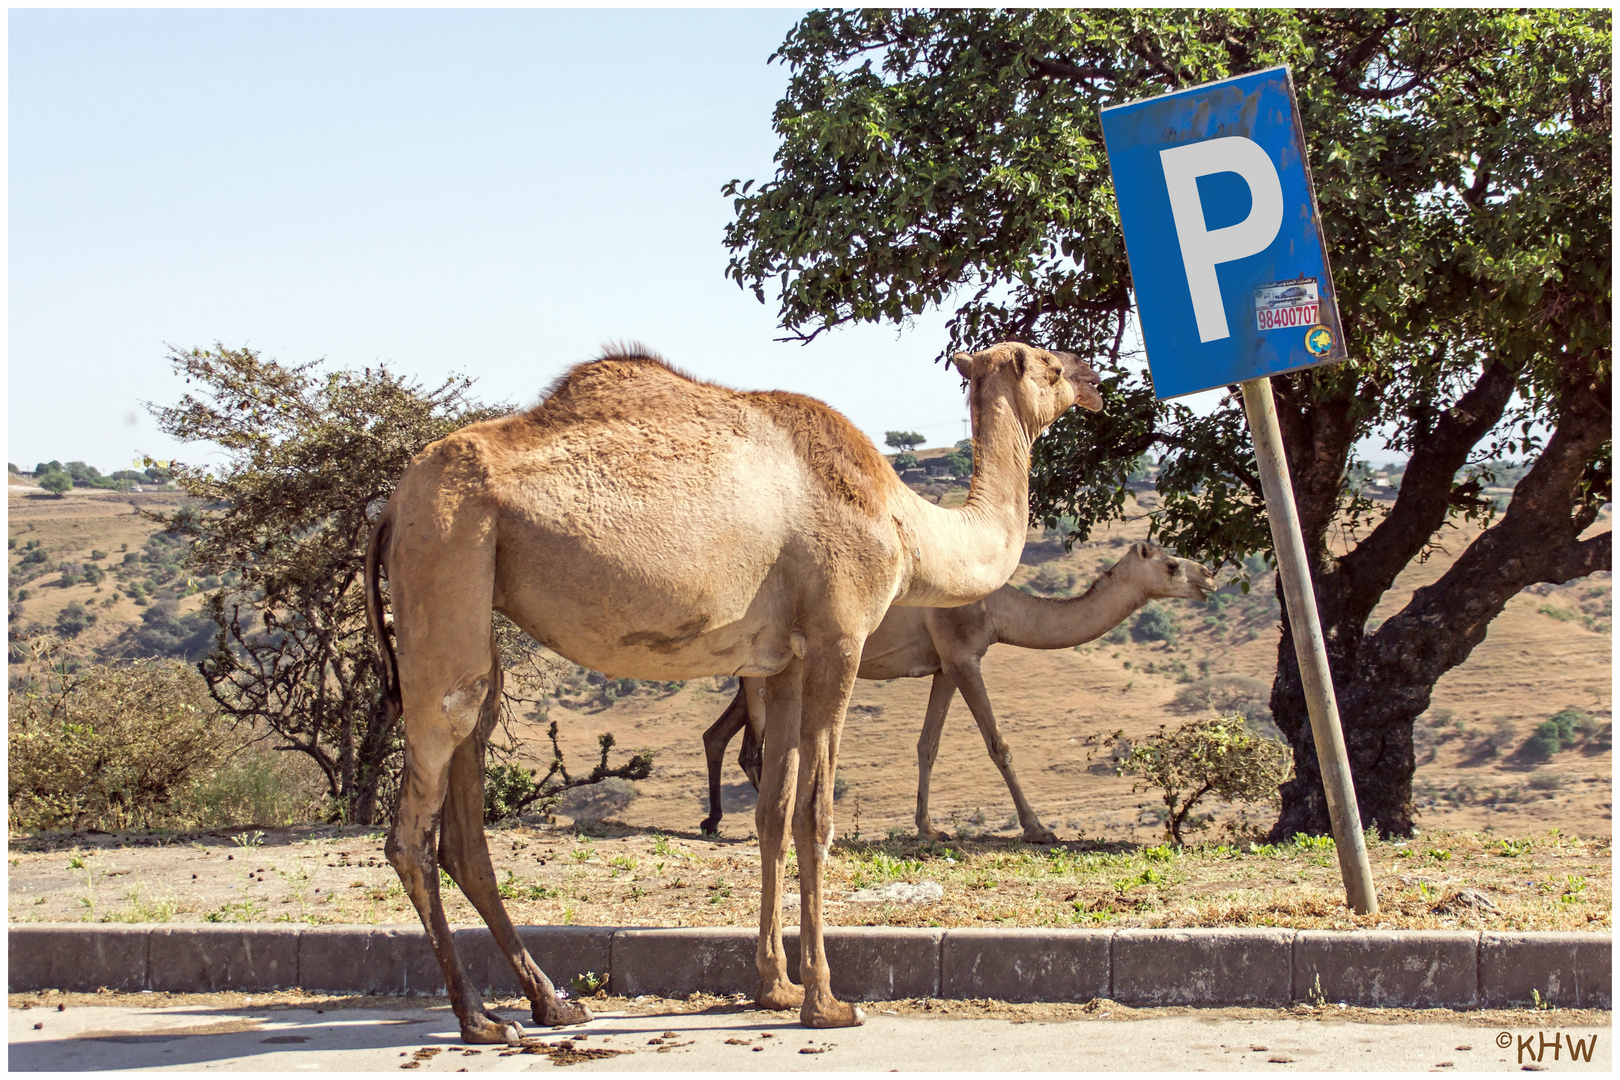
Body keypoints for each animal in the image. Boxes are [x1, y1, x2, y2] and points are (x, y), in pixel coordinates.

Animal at [364, 341, 1101, 1042]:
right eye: (1049, 363)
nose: (1095, 380)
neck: (903, 523)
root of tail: (393, 505)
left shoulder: (782, 662)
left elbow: (772, 814)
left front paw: (774, 988)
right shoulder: (839, 637)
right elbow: (815, 817)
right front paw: (827, 1003)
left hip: (476, 600)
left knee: (468, 791)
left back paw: (549, 1004)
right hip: (448, 551)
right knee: (413, 821)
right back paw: (481, 1019)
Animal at [699, 544, 1218, 841]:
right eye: (1173, 564)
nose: (1209, 575)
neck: (997, 606)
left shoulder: (944, 666)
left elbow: (927, 745)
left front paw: (929, 828)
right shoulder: (965, 654)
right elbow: (998, 744)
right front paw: (1038, 828)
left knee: (723, 737)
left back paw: (716, 821)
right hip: (766, 670)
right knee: (756, 748)